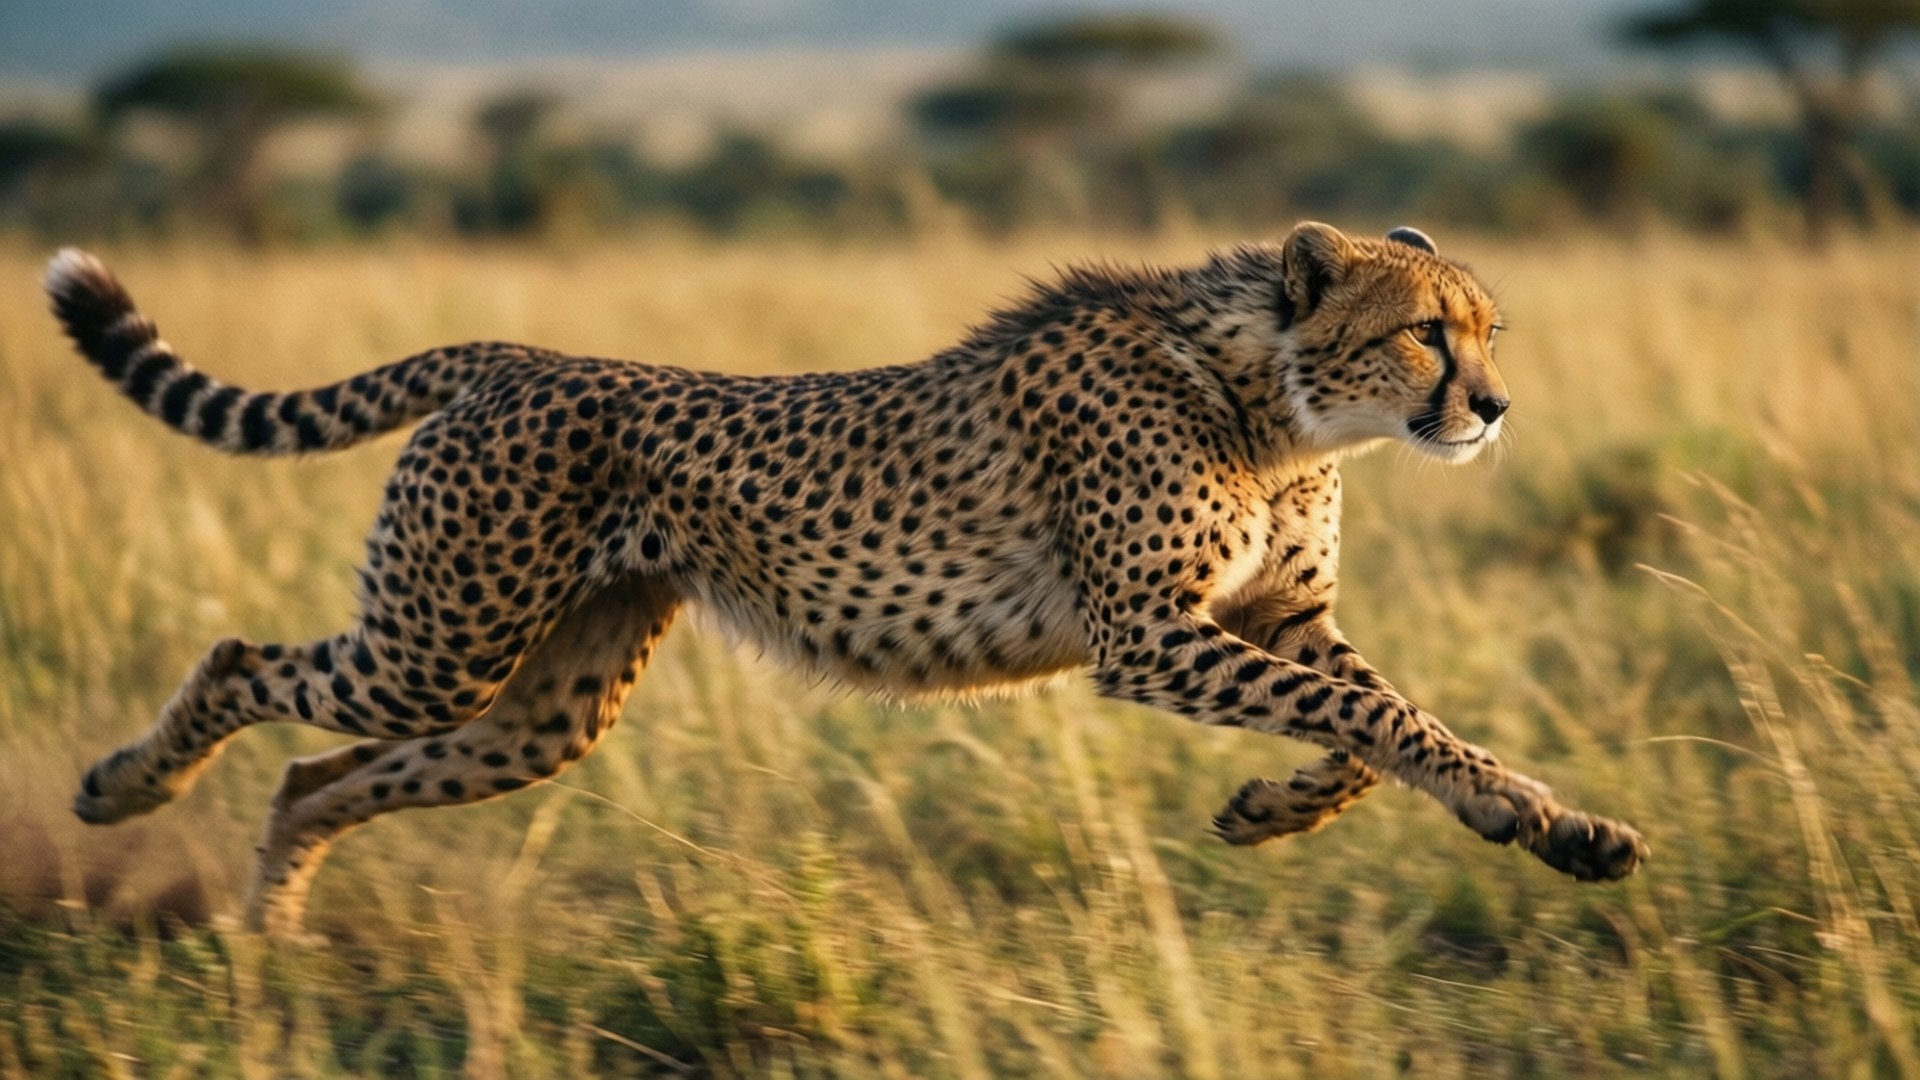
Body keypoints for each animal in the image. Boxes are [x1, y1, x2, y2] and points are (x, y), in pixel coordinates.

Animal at [43, 222, 1646, 938]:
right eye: (1429, 332)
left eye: (1491, 329)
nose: (1494, 407)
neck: (1276, 399)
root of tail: (518, 354)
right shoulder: (1148, 635)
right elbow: (1382, 719)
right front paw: (1521, 807)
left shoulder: (1275, 617)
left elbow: (1372, 725)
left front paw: (1291, 811)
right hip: (443, 637)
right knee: (246, 666)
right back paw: (126, 791)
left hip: (543, 705)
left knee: (320, 775)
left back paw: (269, 936)